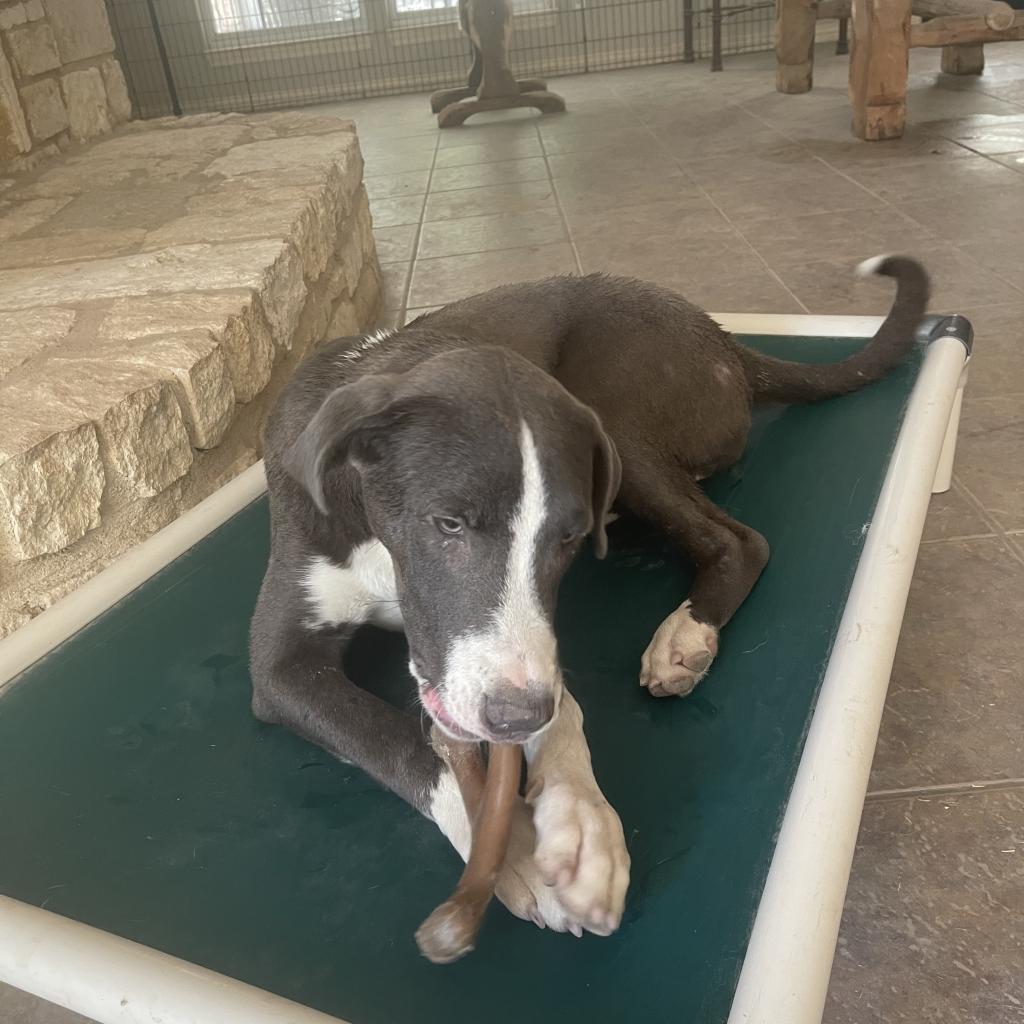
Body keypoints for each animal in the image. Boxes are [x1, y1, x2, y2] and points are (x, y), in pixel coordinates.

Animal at [247, 253, 929, 937]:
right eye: (448, 523)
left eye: (568, 539)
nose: (516, 718)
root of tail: (722, 337)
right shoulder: (281, 670)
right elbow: (403, 741)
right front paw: (512, 846)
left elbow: (551, 705)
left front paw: (575, 821)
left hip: (615, 412)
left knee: (741, 540)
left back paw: (686, 633)